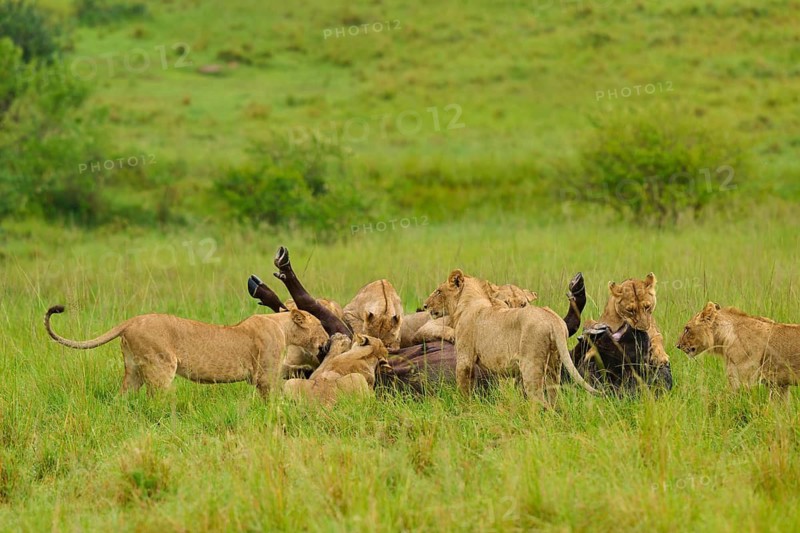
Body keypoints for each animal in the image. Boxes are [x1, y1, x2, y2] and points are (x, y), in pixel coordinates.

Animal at [44, 305, 329, 396]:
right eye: (320, 325)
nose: (328, 339)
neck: (282, 326)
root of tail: (132, 320)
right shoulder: (265, 375)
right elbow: (272, 398)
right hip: (161, 367)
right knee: (156, 399)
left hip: (133, 370)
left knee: (123, 398)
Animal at [424, 269, 597, 405]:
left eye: (438, 291)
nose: (425, 305)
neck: (467, 303)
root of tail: (553, 319)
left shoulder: (464, 360)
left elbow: (463, 391)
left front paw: (465, 409)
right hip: (554, 364)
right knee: (553, 397)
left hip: (530, 365)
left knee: (539, 399)